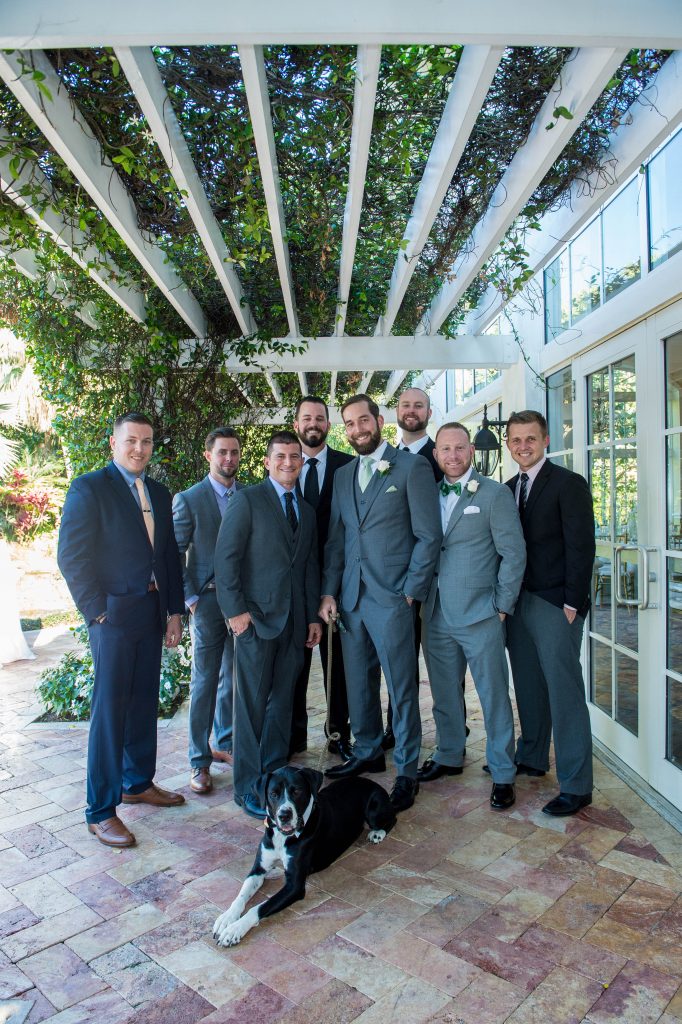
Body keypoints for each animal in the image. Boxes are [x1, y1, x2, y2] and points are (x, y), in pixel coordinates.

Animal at [210, 765, 393, 946]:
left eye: (297, 791)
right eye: (273, 794)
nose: (284, 815)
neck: (283, 837)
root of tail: (372, 782)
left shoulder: (294, 886)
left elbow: (259, 907)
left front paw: (234, 929)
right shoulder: (258, 869)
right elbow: (241, 895)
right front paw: (227, 918)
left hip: (374, 812)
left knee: (392, 819)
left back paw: (378, 833)